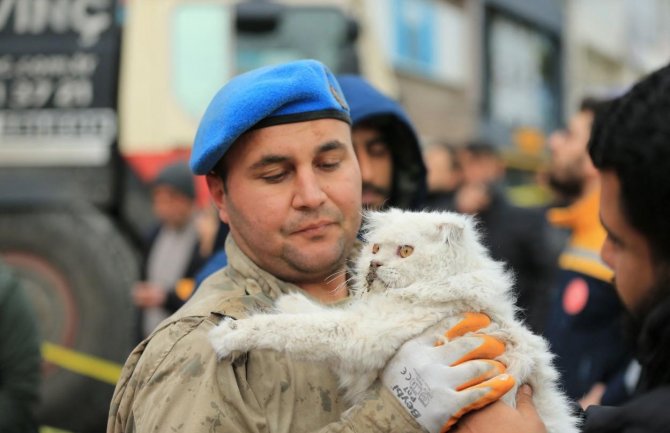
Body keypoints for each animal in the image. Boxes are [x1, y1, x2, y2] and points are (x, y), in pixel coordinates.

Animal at [211, 209, 584, 432]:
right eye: (375, 249)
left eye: (405, 252)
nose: (374, 265)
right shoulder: (363, 321)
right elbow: (315, 313)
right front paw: (290, 299)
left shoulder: (359, 336)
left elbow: (288, 329)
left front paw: (228, 334)